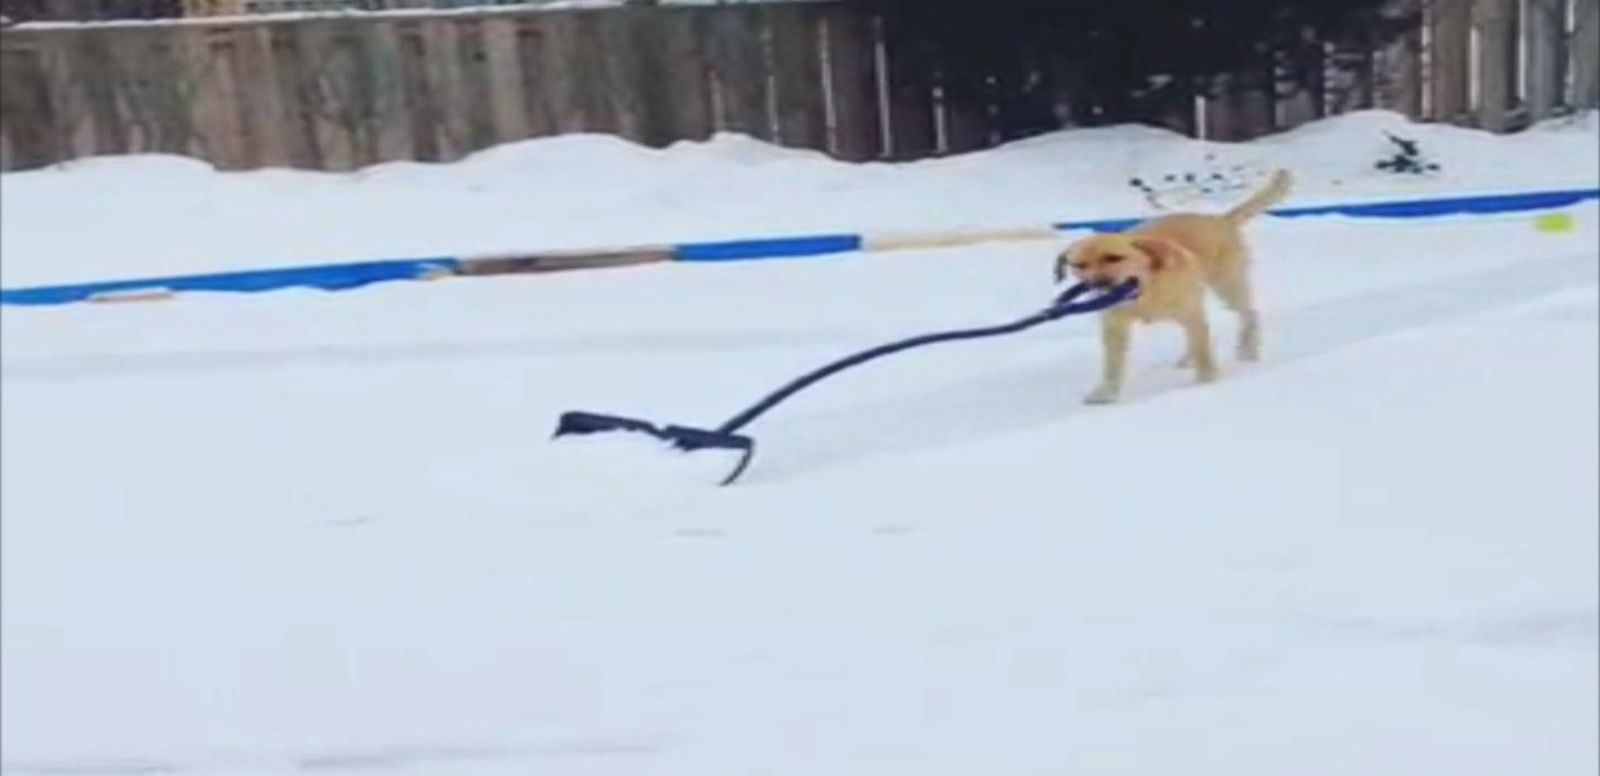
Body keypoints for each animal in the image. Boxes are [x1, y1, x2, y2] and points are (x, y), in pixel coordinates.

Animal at [1056, 166, 1292, 401]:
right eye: (1079, 265)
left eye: (1114, 258)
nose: (1098, 284)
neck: (1145, 291)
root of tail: (1219, 219)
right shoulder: (1114, 327)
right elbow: (1112, 364)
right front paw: (1106, 392)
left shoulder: (1190, 313)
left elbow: (1203, 350)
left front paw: (1207, 381)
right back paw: (1188, 359)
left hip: (1227, 286)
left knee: (1248, 314)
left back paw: (1248, 350)